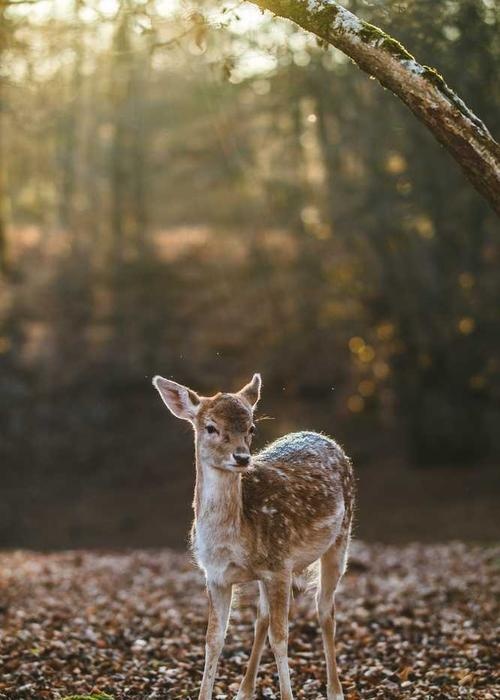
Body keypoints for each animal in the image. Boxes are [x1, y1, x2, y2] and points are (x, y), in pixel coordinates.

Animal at [152, 373, 355, 700]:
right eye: (210, 427)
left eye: (251, 428)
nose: (242, 457)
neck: (231, 541)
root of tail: (324, 436)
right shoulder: (216, 576)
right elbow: (213, 639)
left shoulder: (281, 565)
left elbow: (281, 637)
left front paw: (287, 695)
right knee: (261, 617)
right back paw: (244, 690)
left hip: (341, 539)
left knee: (325, 610)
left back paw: (335, 691)